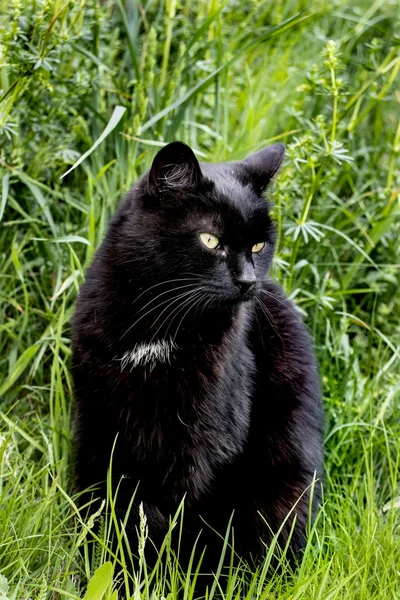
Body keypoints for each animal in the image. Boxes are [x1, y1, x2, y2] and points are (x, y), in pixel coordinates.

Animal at [71, 142, 322, 576]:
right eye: (209, 239)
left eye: (258, 246)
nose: (248, 281)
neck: (159, 325)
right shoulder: (99, 420)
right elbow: (108, 499)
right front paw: (109, 567)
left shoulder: (204, 444)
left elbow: (182, 514)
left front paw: (167, 578)